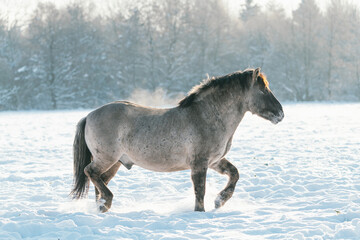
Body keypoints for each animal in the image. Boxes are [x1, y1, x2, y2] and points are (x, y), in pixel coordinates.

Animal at [70, 67, 284, 212]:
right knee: (90, 172)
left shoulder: (215, 161)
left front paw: (220, 201)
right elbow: (200, 191)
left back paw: (102, 206)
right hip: (106, 158)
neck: (206, 116)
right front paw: (202, 211)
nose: (280, 114)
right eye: (263, 90)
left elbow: (234, 174)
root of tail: (89, 115)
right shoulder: (199, 163)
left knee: (99, 180)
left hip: (115, 163)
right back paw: (107, 201)